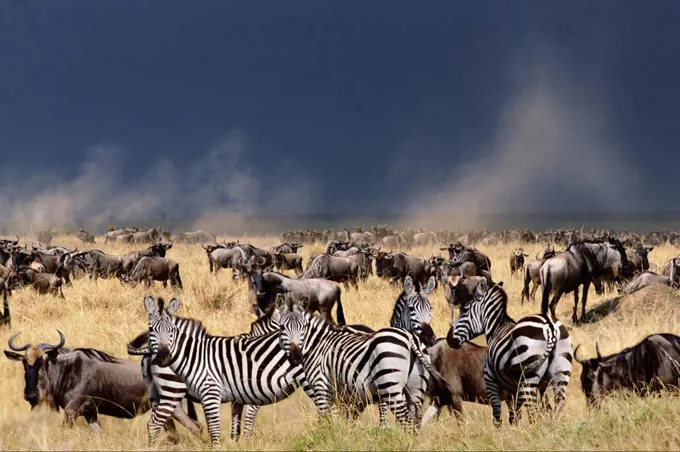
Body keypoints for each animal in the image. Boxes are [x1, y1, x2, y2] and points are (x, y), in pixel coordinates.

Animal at [141, 294, 316, 446]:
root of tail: (149, 355)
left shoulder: (239, 396)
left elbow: (236, 423)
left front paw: (236, 443)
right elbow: (248, 421)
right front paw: (247, 443)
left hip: (161, 392)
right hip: (173, 389)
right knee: (159, 420)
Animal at [274, 298, 454, 432]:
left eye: (302, 327)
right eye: (282, 327)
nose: (296, 357)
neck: (317, 345)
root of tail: (410, 337)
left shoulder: (321, 388)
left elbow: (324, 421)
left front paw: (327, 438)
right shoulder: (340, 395)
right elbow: (340, 420)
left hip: (391, 385)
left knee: (405, 419)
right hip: (416, 387)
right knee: (415, 420)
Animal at [446, 278, 572, 426]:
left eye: (465, 310)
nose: (449, 339)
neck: (496, 328)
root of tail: (550, 326)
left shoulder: (490, 380)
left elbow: (497, 416)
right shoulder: (512, 390)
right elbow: (515, 416)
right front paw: (515, 430)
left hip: (528, 379)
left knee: (534, 413)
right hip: (561, 375)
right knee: (558, 408)